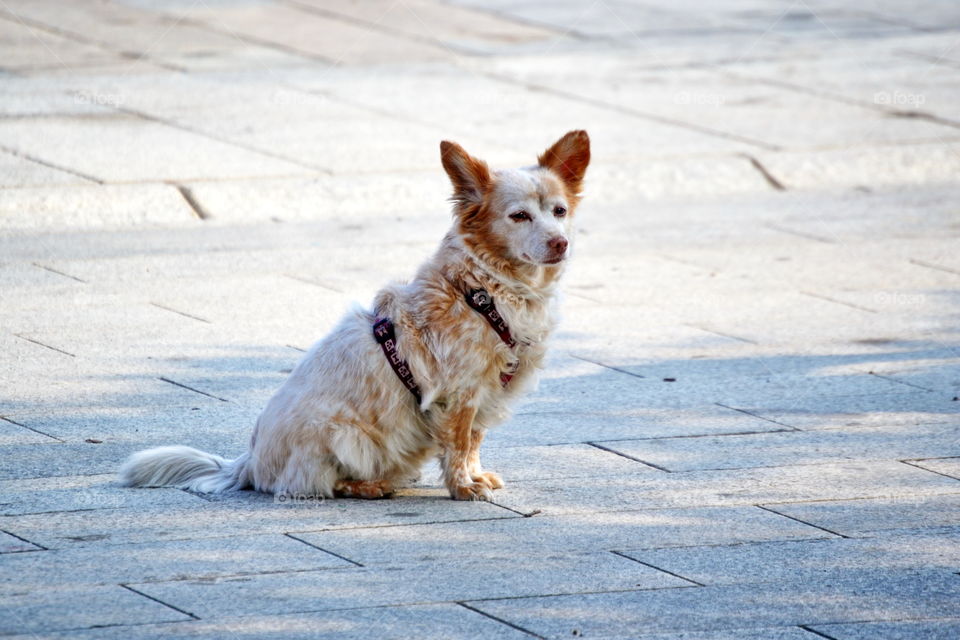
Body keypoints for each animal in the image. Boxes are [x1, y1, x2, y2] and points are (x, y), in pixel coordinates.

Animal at [117, 129, 588, 500]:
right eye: (519, 216)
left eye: (559, 211)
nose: (560, 243)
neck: (485, 291)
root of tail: (248, 462)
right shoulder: (459, 392)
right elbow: (456, 443)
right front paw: (462, 488)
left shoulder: (486, 393)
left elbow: (473, 440)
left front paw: (474, 476)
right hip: (342, 433)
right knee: (313, 485)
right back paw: (371, 486)